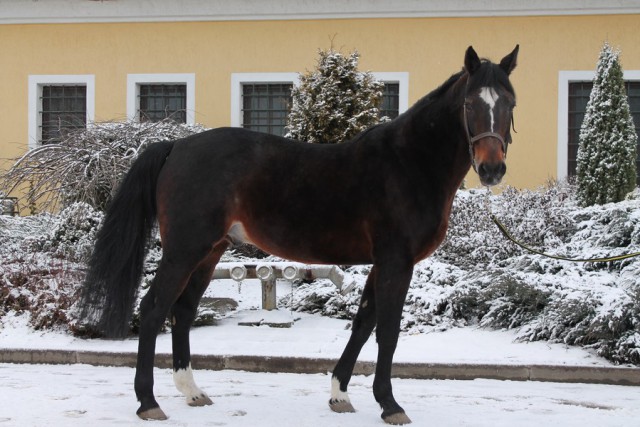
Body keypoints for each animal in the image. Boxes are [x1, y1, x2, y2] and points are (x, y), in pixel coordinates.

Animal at [80, 45, 520, 426]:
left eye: (509, 103)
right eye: (470, 104)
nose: (492, 169)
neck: (408, 163)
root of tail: (176, 146)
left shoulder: (382, 263)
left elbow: (363, 323)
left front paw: (340, 394)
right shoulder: (397, 262)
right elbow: (388, 331)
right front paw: (390, 405)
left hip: (210, 251)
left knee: (183, 310)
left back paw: (192, 391)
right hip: (184, 250)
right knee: (154, 308)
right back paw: (148, 402)